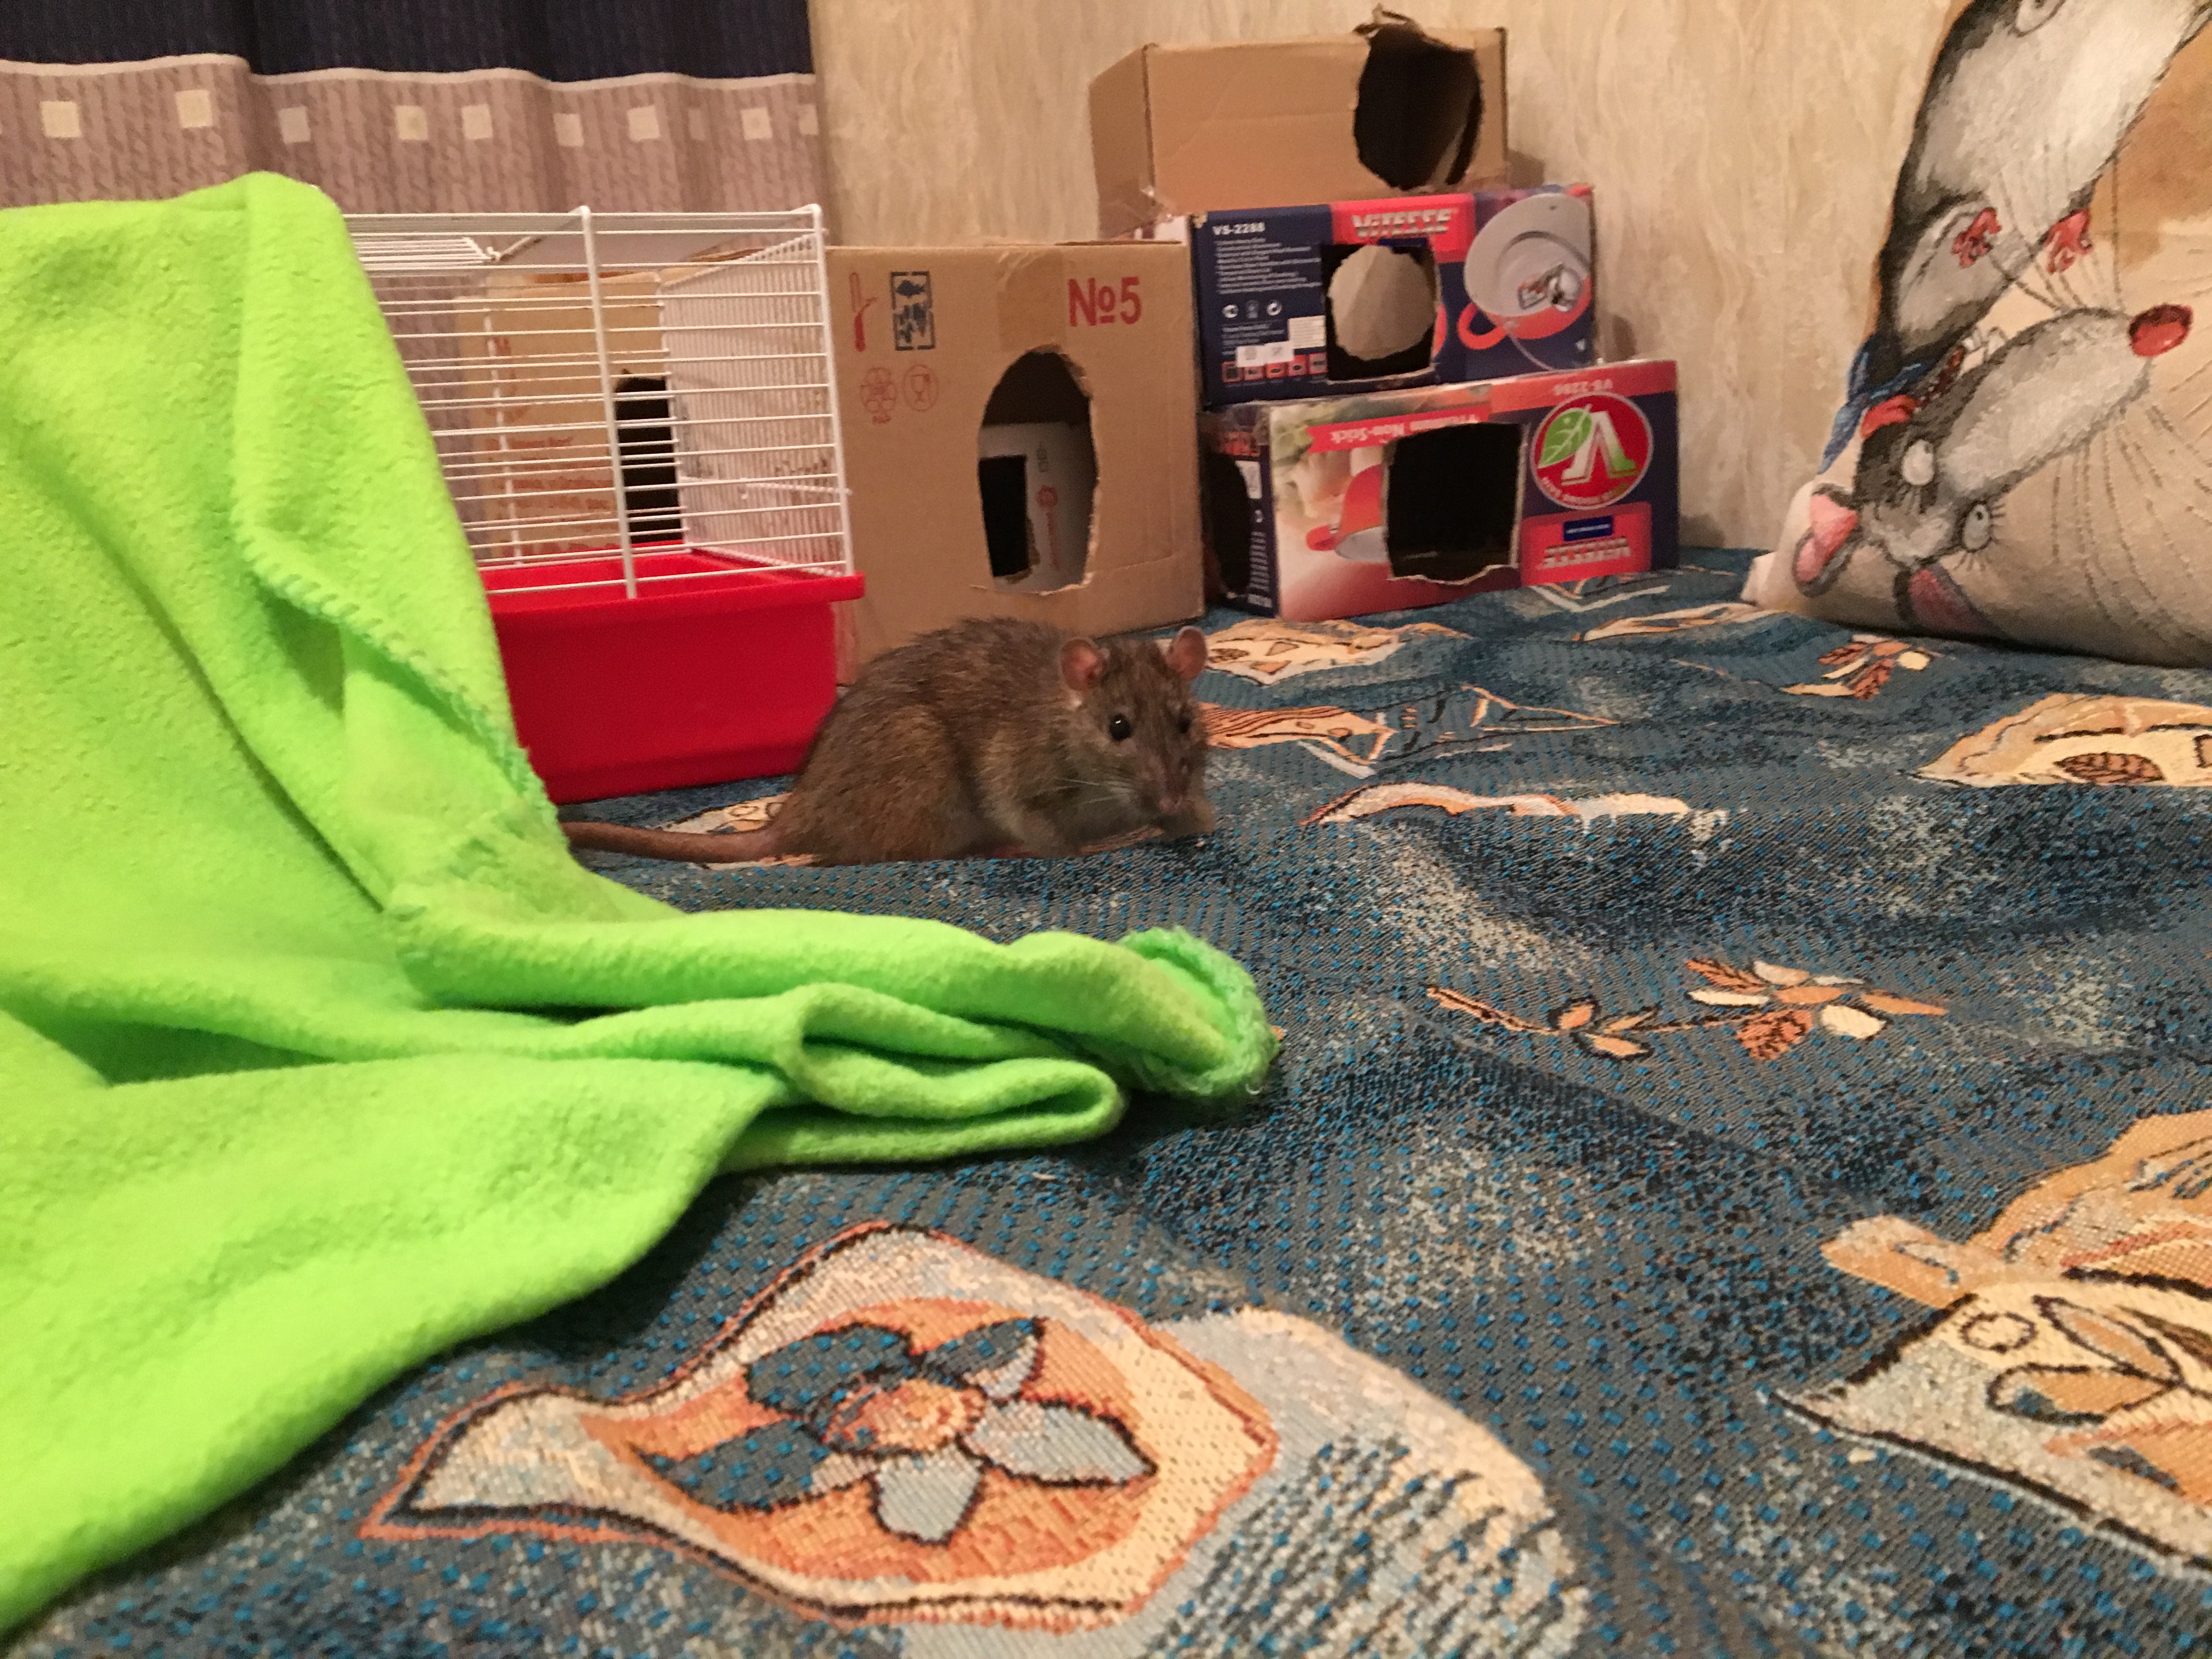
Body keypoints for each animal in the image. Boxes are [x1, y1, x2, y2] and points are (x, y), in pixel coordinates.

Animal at [561, 618, 1217, 867]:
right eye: (1118, 727)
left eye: (1185, 722)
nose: (1166, 800)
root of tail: (802, 816)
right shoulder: (1019, 767)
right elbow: (1036, 824)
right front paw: (1078, 849)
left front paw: (1194, 821)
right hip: (922, 775)